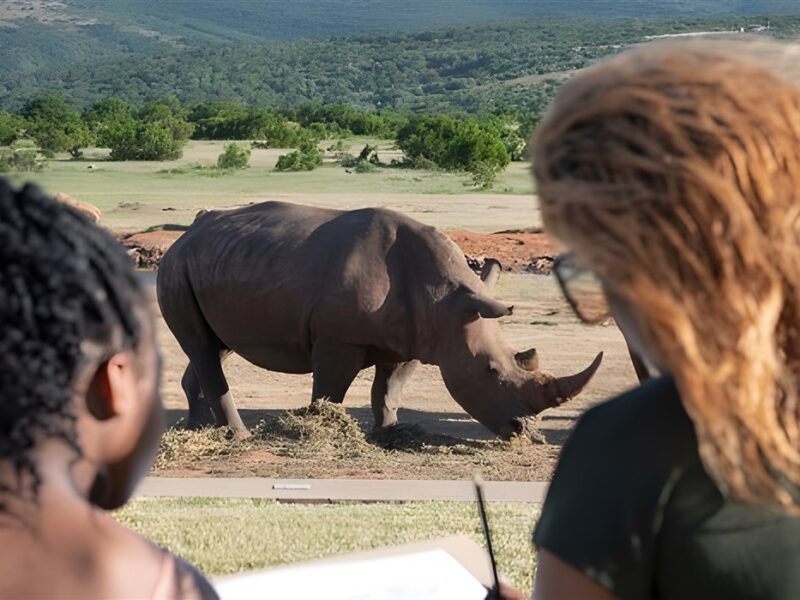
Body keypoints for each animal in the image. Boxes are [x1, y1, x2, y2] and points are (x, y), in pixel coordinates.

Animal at [156, 201, 603, 439]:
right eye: (491, 371)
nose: (526, 432)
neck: (446, 300)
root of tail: (186, 234)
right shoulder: (338, 338)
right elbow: (330, 390)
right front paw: (322, 429)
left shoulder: (416, 338)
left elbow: (389, 389)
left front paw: (389, 433)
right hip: (175, 267)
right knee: (203, 348)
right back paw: (237, 435)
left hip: (216, 264)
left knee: (215, 347)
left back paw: (197, 427)